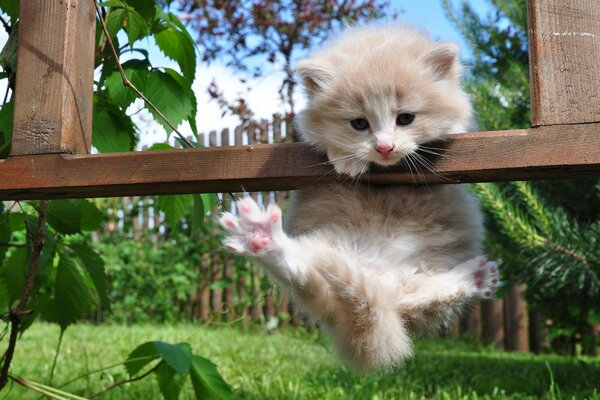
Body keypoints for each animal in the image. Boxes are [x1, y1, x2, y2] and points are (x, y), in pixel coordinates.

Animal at [220, 23, 502, 370]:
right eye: (359, 123)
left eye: (405, 118)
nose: (384, 147)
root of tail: (378, 278)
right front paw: (347, 159)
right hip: (325, 256)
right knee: (304, 271)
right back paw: (262, 239)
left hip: (419, 272)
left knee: (409, 301)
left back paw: (474, 277)